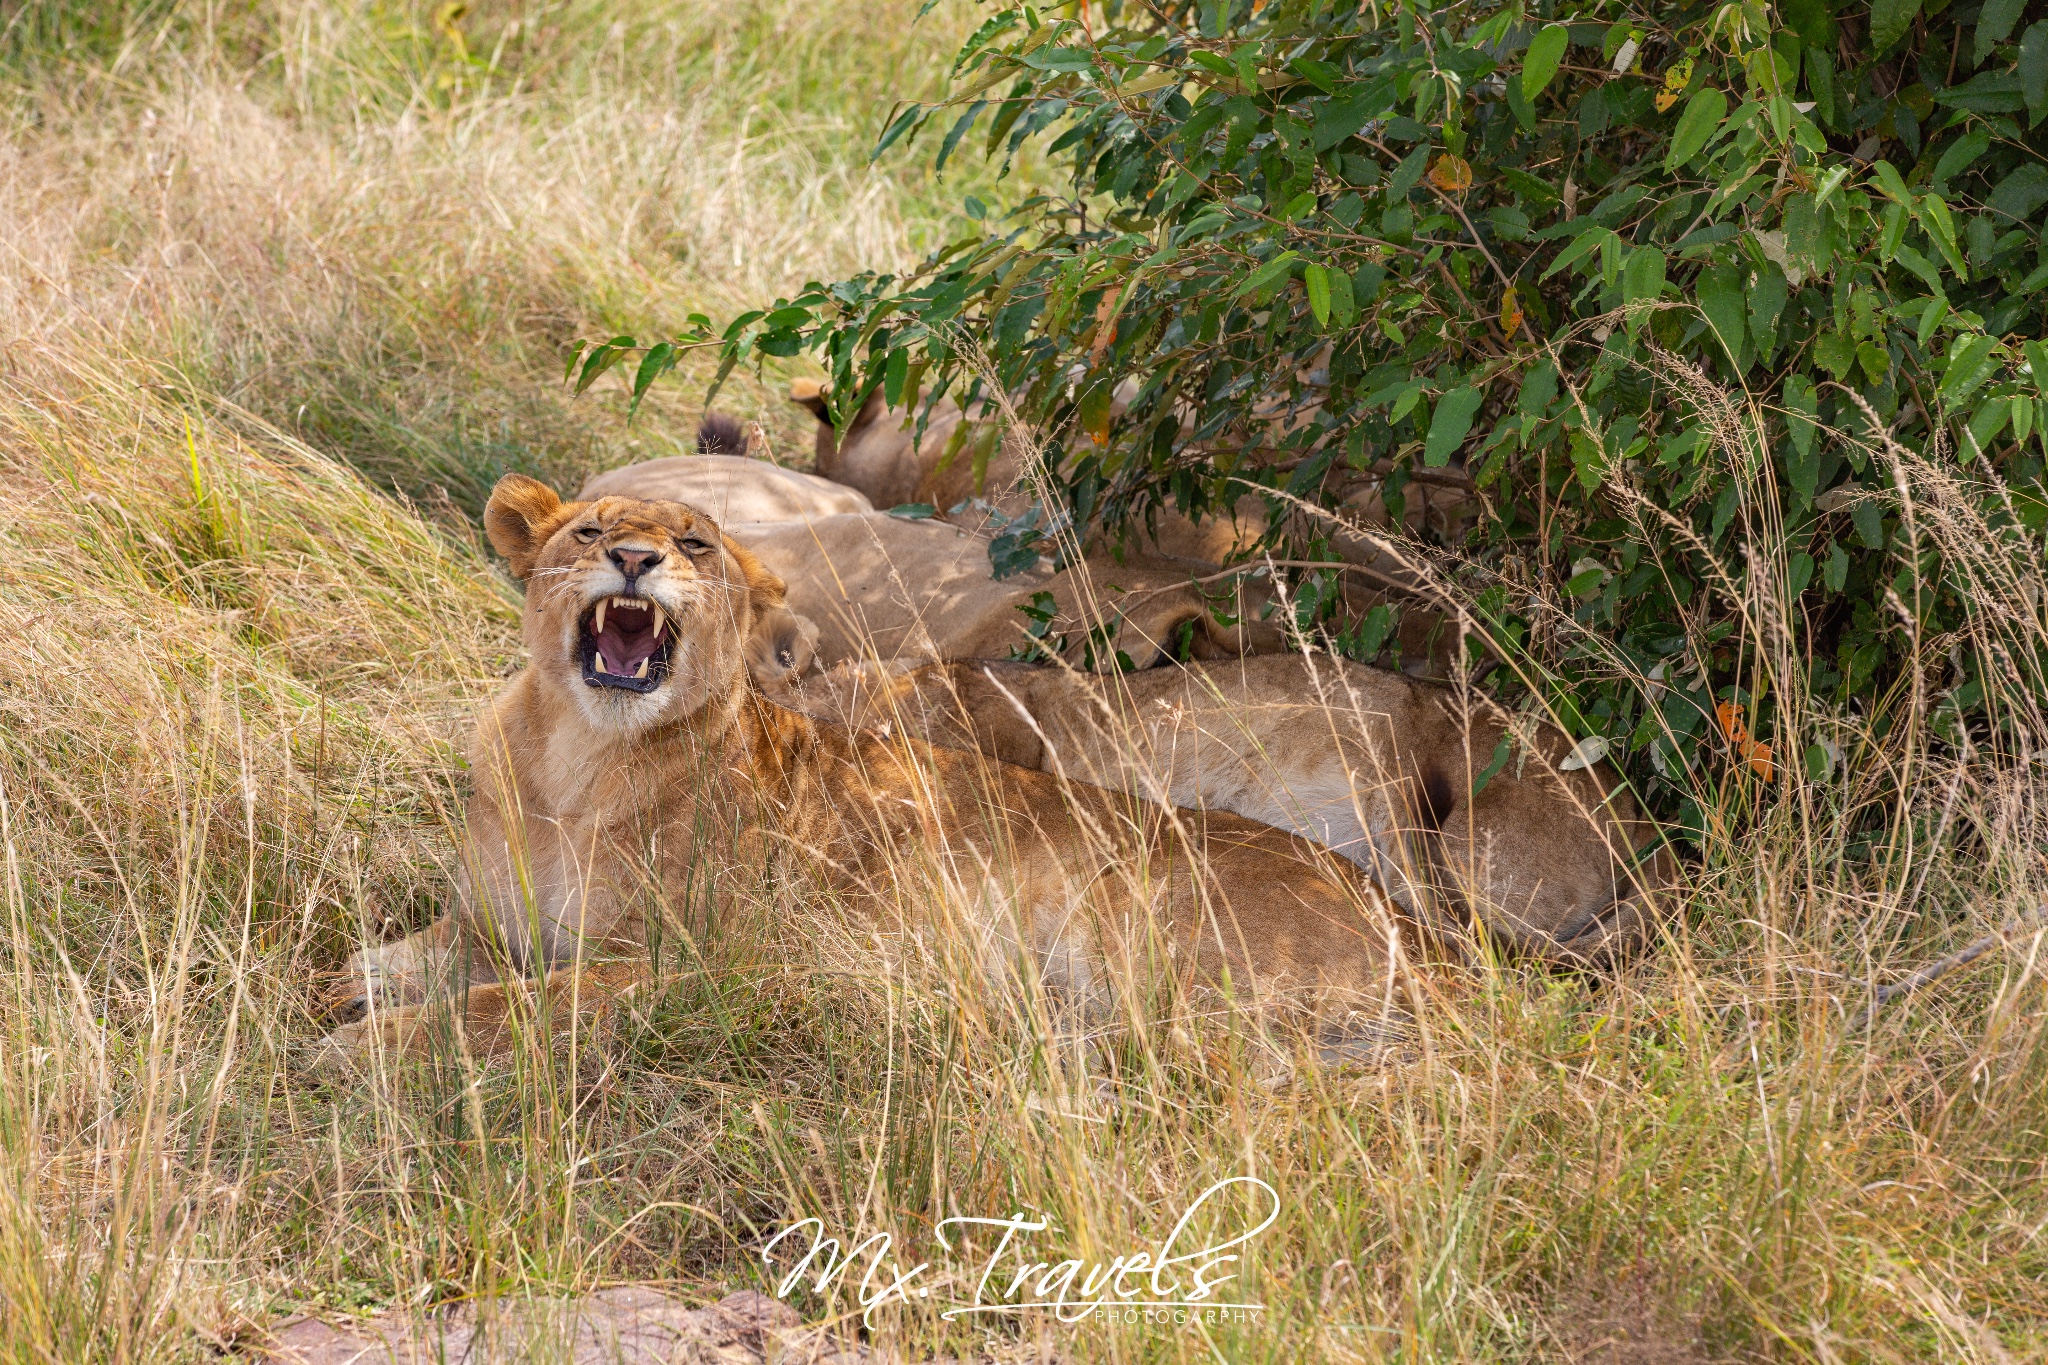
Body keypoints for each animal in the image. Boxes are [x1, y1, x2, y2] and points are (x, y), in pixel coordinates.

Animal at [315, 480, 1409, 1064]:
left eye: (695, 544)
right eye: (589, 530)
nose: (633, 559)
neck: (578, 763)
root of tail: (1411, 923)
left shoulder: (710, 967)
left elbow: (515, 1004)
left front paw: (363, 1050)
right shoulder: (491, 919)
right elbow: (401, 956)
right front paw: (336, 992)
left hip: (1146, 918)